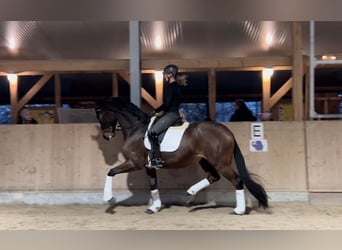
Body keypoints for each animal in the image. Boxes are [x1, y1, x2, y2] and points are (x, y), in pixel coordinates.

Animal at [95, 96, 268, 214]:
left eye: (100, 114)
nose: (107, 135)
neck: (136, 128)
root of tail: (227, 132)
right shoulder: (148, 166)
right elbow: (153, 186)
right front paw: (154, 207)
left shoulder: (134, 163)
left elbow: (110, 172)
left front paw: (108, 198)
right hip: (204, 160)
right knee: (213, 176)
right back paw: (189, 193)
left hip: (221, 163)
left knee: (237, 180)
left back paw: (238, 210)